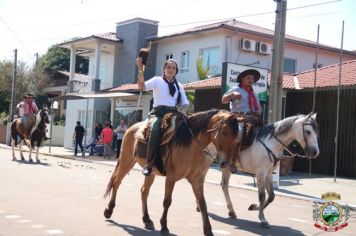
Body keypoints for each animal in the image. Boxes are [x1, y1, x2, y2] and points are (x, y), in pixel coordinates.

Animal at [103, 109, 242, 236]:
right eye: (224, 132)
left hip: (150, 172)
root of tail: (131, 128)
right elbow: (167, 201)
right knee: (116, 183)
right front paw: (164, 226)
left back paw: (147, 220)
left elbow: (203, 204)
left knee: (144, 191)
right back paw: (109, 210)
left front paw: (208, 230)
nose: (228, 164)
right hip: (126, 162)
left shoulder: (197, 180)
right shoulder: (171, 177)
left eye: (237, 136)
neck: (192, 145)